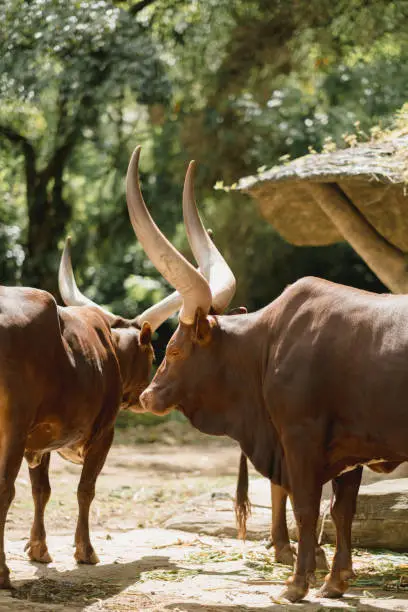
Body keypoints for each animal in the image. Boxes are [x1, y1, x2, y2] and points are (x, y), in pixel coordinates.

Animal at [0, 238, 180, 588]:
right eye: (153, 356)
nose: (144, 398)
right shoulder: (104, 433)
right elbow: (86, 489)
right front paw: (85, 550)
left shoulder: (38, 442)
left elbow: (41, 490)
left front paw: (39, 548)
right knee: (4, 489)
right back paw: (2, 573)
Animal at [126, 146, 408, 604]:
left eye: (174, 349)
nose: (147, 396)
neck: (271, 341)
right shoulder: (350, 450)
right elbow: (341, 510)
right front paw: (335, 581)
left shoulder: (300, 437)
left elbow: (306, 506)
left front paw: (296, 584)